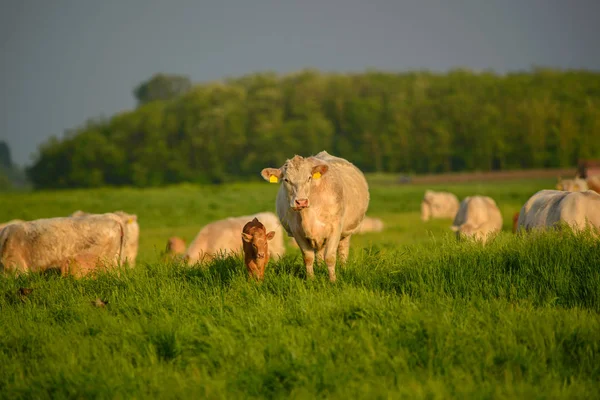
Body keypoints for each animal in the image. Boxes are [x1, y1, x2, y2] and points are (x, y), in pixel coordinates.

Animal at [260, 150, 368, 282]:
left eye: (309, 178)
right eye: (286, 180)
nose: (301, 201)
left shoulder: (335, 228)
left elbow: (330, 257)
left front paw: (333, 280)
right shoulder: (297, 232)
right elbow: (308, 257)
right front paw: (311, 279)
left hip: (347, 231)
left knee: (343, 251)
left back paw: (343, 269)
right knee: (319, 254)